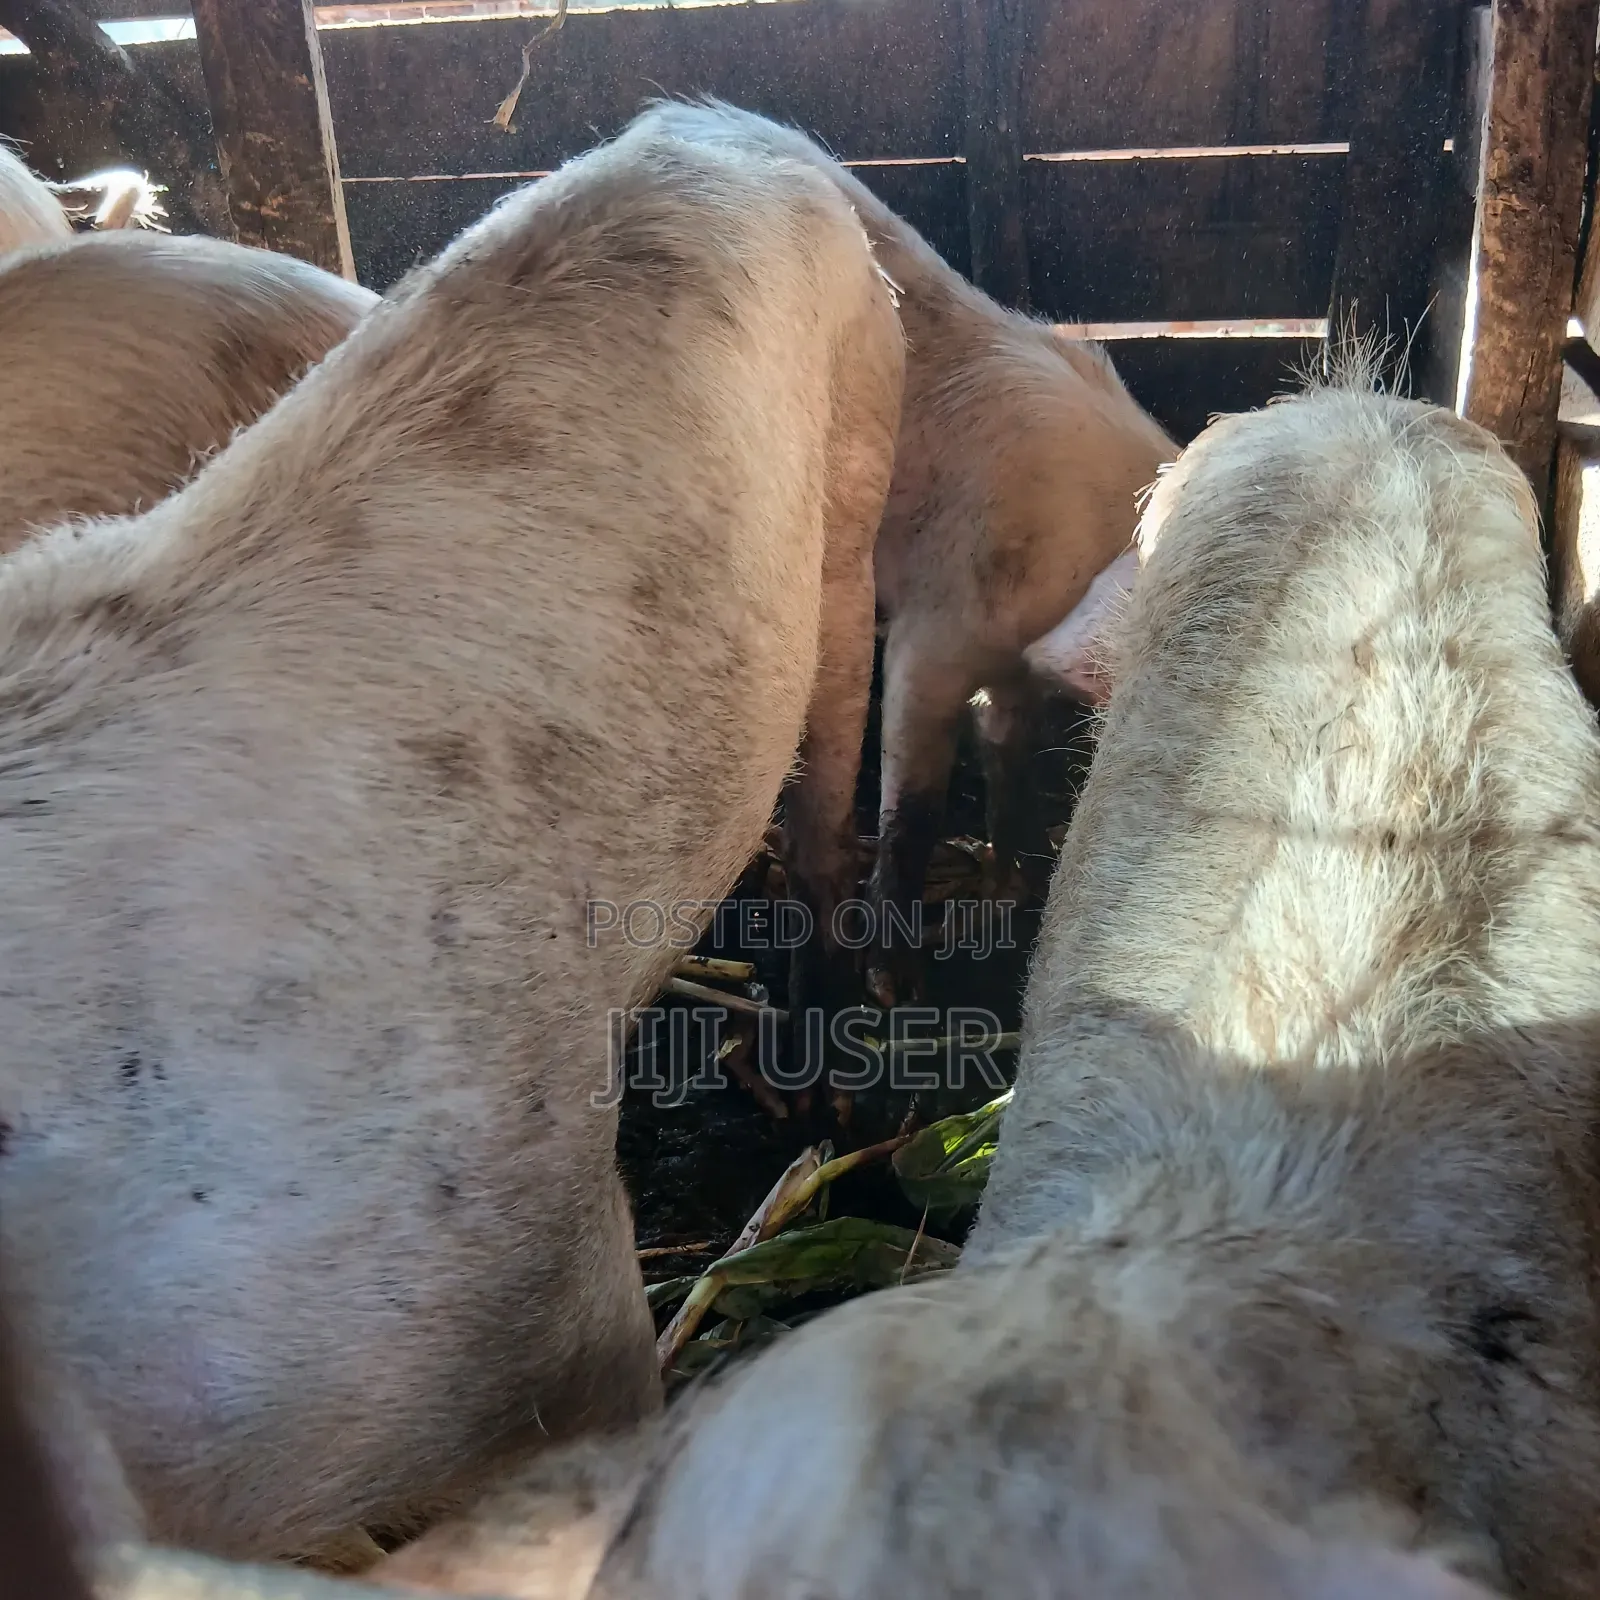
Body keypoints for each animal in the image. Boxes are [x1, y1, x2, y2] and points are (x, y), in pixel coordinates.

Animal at [632, 99, 1177, 1007]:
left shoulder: (1010, 665)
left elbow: (1008, 753)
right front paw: (895, 983)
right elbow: (915, 801)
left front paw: (1014, 885)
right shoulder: (939, 628)